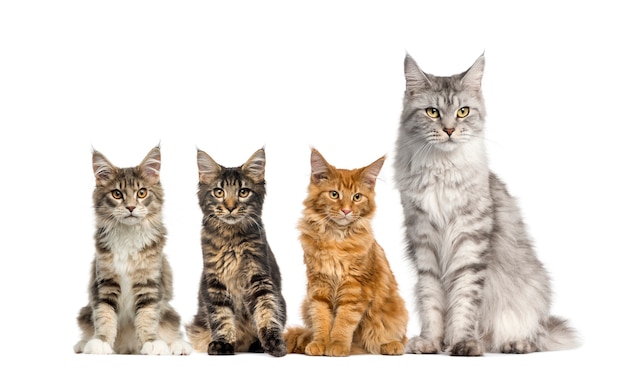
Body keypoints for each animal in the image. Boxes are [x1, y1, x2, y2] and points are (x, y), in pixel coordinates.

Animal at [73, 146, 190, 356]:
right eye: (117, 194)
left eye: (141, 193)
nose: (130, 207)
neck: (128, 236)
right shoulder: (105, 282)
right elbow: (104, 316)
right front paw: (101, 342)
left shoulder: (149, 283)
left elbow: (147, 318)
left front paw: (151, 343)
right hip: (84, 313)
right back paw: (83, 344)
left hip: (170, 314)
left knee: (171, 331)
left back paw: (178, 346)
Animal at [183, 149, 286, 360]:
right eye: (219, 192)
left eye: (243, 192)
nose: (230, 206)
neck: (231, 240)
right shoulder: (215, 283)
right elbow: (222, 317)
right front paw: (222, 343)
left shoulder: (259, 277)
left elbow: (267, 311)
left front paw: (274, 343)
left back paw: (257, 345)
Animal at [282, 148, 410, 356]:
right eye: (334, 194)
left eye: (357, 197)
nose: (346, 210)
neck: (336, 238)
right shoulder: (318, 287)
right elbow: (321, 318)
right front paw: (320, 343)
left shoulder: (355, 288)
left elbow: (344, 321)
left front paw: (338, 346)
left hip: (396, 310)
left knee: (392, 338)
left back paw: (390, 345)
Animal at [392, 52, 576, 356]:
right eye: (432, 112)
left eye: (463, 111)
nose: (449, 130)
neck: (441, 170)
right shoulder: (425, 244)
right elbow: (432, 303)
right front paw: (431, 342)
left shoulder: (470, 244)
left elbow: (464, 302)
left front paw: (463, 343)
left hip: (530, 295)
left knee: (529, 336)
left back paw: (514, 343)